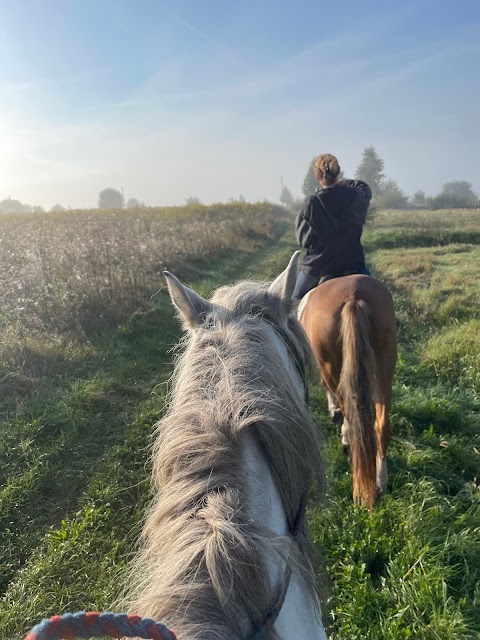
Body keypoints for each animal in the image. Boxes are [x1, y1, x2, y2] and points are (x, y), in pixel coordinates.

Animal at [300, 276, 398, 510]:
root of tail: (354, 297)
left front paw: (334, 414)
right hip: (384, 363)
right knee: (381, 425)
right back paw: (380, 481)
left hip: (331, 366)